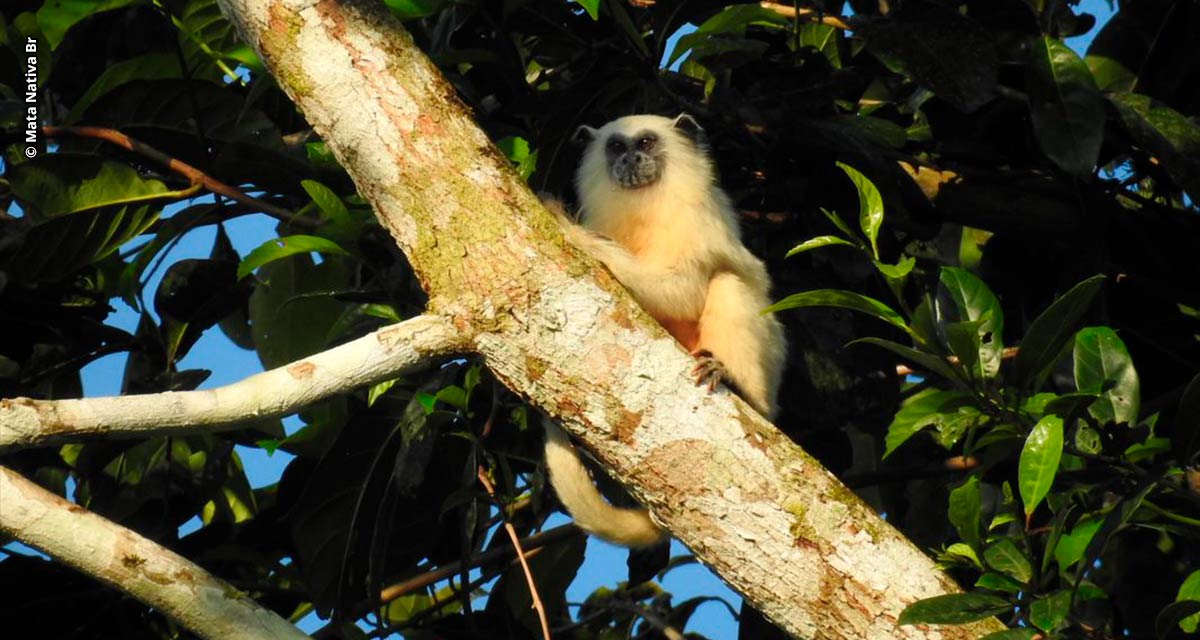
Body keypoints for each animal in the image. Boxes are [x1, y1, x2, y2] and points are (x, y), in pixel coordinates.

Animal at [544, 112, 787, 547]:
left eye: (645, 142)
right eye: (616, 147)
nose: (630, 161)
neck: (644, 209)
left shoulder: (698, 220)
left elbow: (683, 292)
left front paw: (573, 232)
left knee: (726, 284)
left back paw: (740, 387)